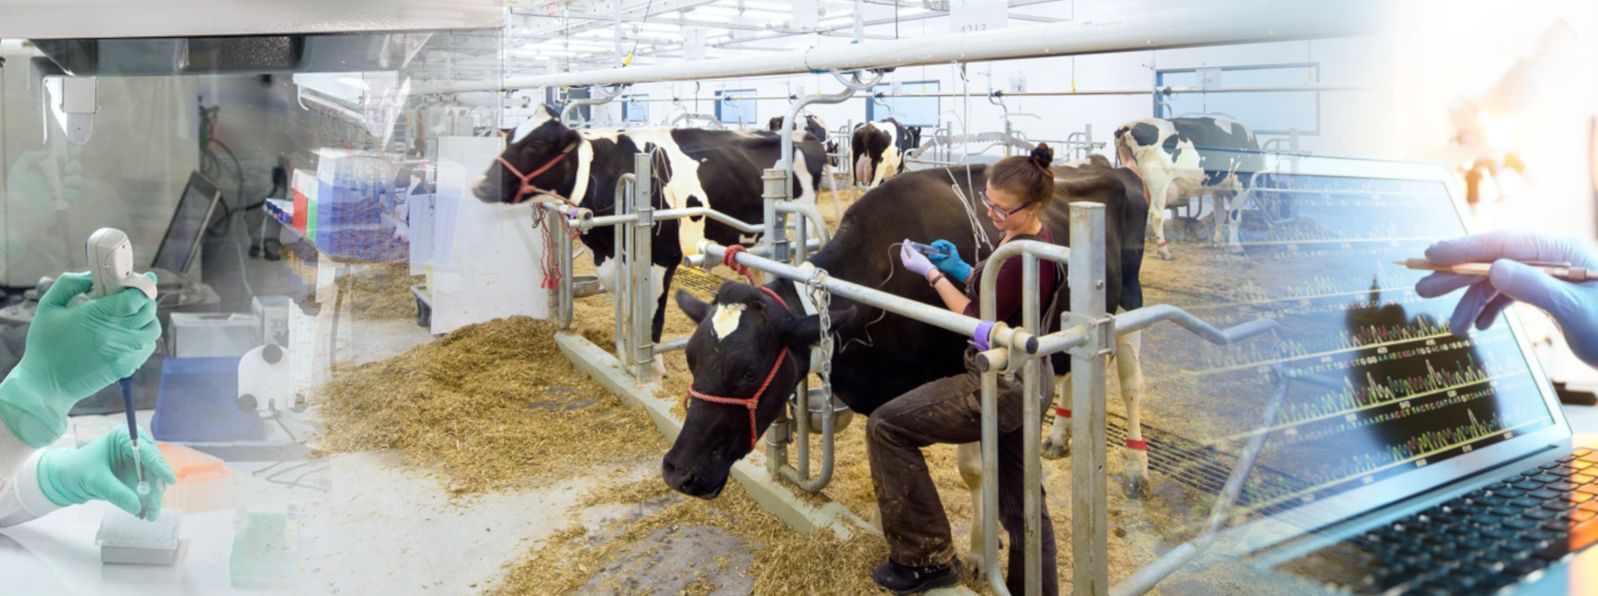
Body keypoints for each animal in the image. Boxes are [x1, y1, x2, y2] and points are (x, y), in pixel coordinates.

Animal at [469, 103, 830, 375]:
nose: (481, 186)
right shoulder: (612, 262)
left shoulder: (659, 260)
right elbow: (631, 315)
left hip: (807, 226)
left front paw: (651, 371)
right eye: (510, 138)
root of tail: (802, 134)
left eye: (536, 145)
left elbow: (651, 322)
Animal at [661, 155, 1150, 568]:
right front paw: (887, 529)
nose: (679, 471)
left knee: (1130, 377)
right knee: (1067, 373)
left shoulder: (969, 372)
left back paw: (1136, 470)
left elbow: (974, 470)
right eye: (691, 358)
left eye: (749, 372)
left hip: (1125, 303)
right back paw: (1059, 436)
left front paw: (979, 552)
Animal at [1118, 117, 1265, 258]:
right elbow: (1234, 217)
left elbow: (1220, 214)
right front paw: (1236, 247)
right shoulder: (1242, 183)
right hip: (1158, 183)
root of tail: (1130, 125)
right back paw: (1164, 251)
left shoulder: (1217, 188)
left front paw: (1218, 241)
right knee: (1156, 215)